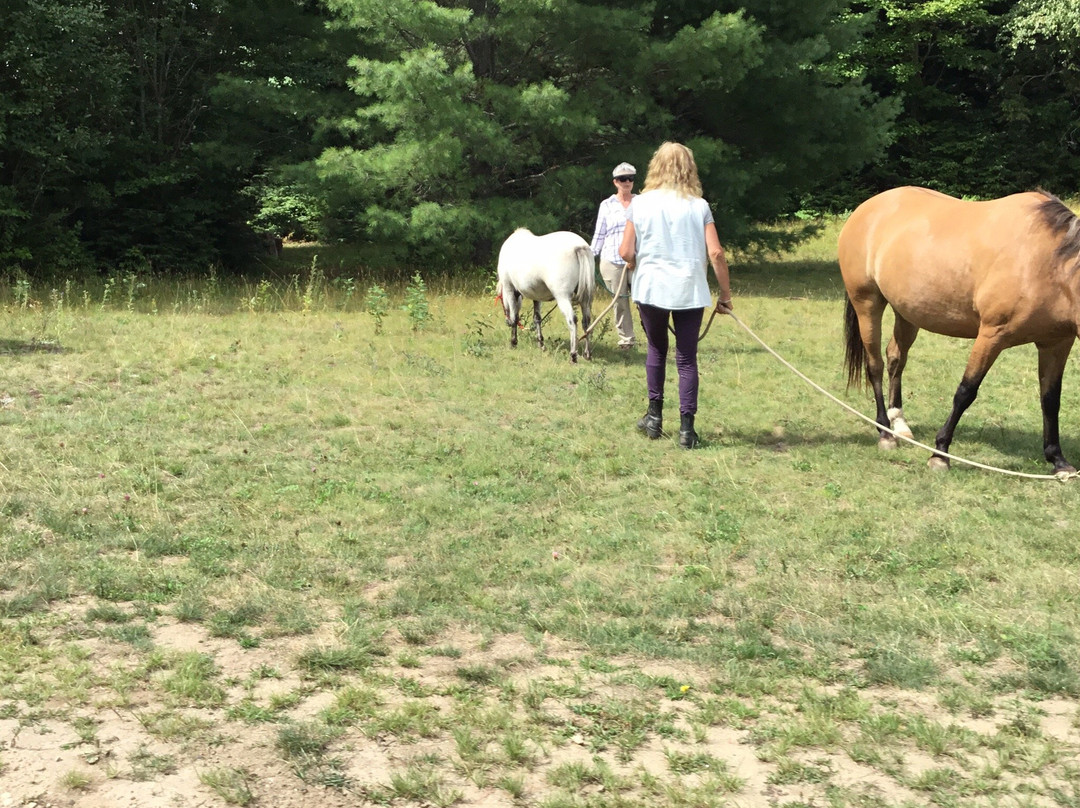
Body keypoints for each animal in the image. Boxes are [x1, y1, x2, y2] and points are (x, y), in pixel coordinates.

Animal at [495, 228, 595, 362]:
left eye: (501, 298)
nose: (506, 322)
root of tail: (579, 247)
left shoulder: (509, 289)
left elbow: (515, 316)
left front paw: (513, 342)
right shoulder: (537, 296)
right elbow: (537, 318)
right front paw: (541, 344)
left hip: (563, 297)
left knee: (572, 320)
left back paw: (573, 355)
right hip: (586, 300)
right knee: (587, 322)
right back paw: (587, 354)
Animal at [839, 186, 1080, 473]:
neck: (1049, 263)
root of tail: (865, 208)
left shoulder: (1057, 343)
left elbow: (1050, 399)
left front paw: (1058, 460)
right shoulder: (991, 335)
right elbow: (965, 392)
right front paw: (940, 453)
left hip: (906, 312)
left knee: (895, 358)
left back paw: (899, 424)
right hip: (867, 303)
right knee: (874, 364)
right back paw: (885, 433)